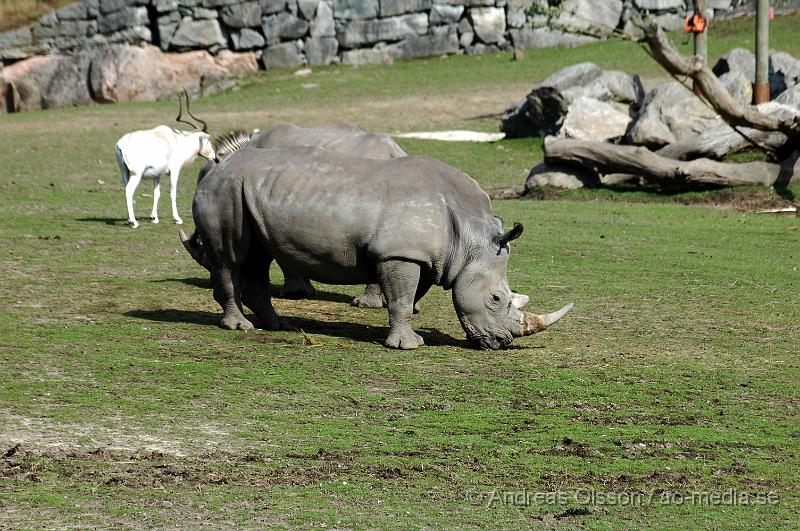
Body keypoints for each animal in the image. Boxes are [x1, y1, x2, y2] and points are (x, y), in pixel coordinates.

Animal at [114, 92, 216, 229]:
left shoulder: (157, 175)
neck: (177, 141)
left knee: (126, 188)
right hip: (136, 174)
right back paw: (134, 222)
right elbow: (173, 192)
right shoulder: (175, 171)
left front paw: (154, 218)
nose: (214, 157)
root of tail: (122, 144)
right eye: (208, 140)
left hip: (124, 171)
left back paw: (130, 220)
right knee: (129, 191)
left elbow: (156, 193)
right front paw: (177, 219)